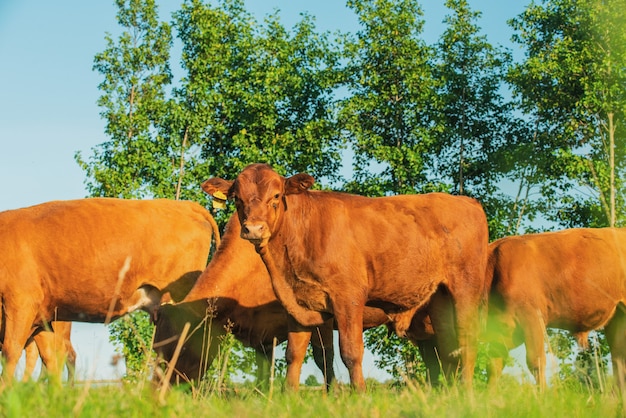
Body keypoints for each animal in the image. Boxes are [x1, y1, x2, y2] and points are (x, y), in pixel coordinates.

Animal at [154, 212, 392, 392]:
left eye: (182, 347)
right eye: (157, 348)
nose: (158, 391)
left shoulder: (319, 316)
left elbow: (323, 356)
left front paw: (332, 395)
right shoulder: (262, 332)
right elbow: (264, 365)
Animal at [202, 162, 490, 388]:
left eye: (275, 195)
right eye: (237, 199)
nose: (253, 229)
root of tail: (467, 201)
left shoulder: (348, 298)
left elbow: (350, 353)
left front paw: (359, 395)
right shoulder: (299, 304)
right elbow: (294, 355)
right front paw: (289, 397)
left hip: (465, 288)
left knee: (468, 339)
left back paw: (466, 393)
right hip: (439, 299)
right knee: (448, 347)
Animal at [486, 229, 624, 388]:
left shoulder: (532, 318)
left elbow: (536, 362)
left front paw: (542, 393)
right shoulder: (499, 331)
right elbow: (494, 367)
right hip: (617, 317)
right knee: (619, 359)